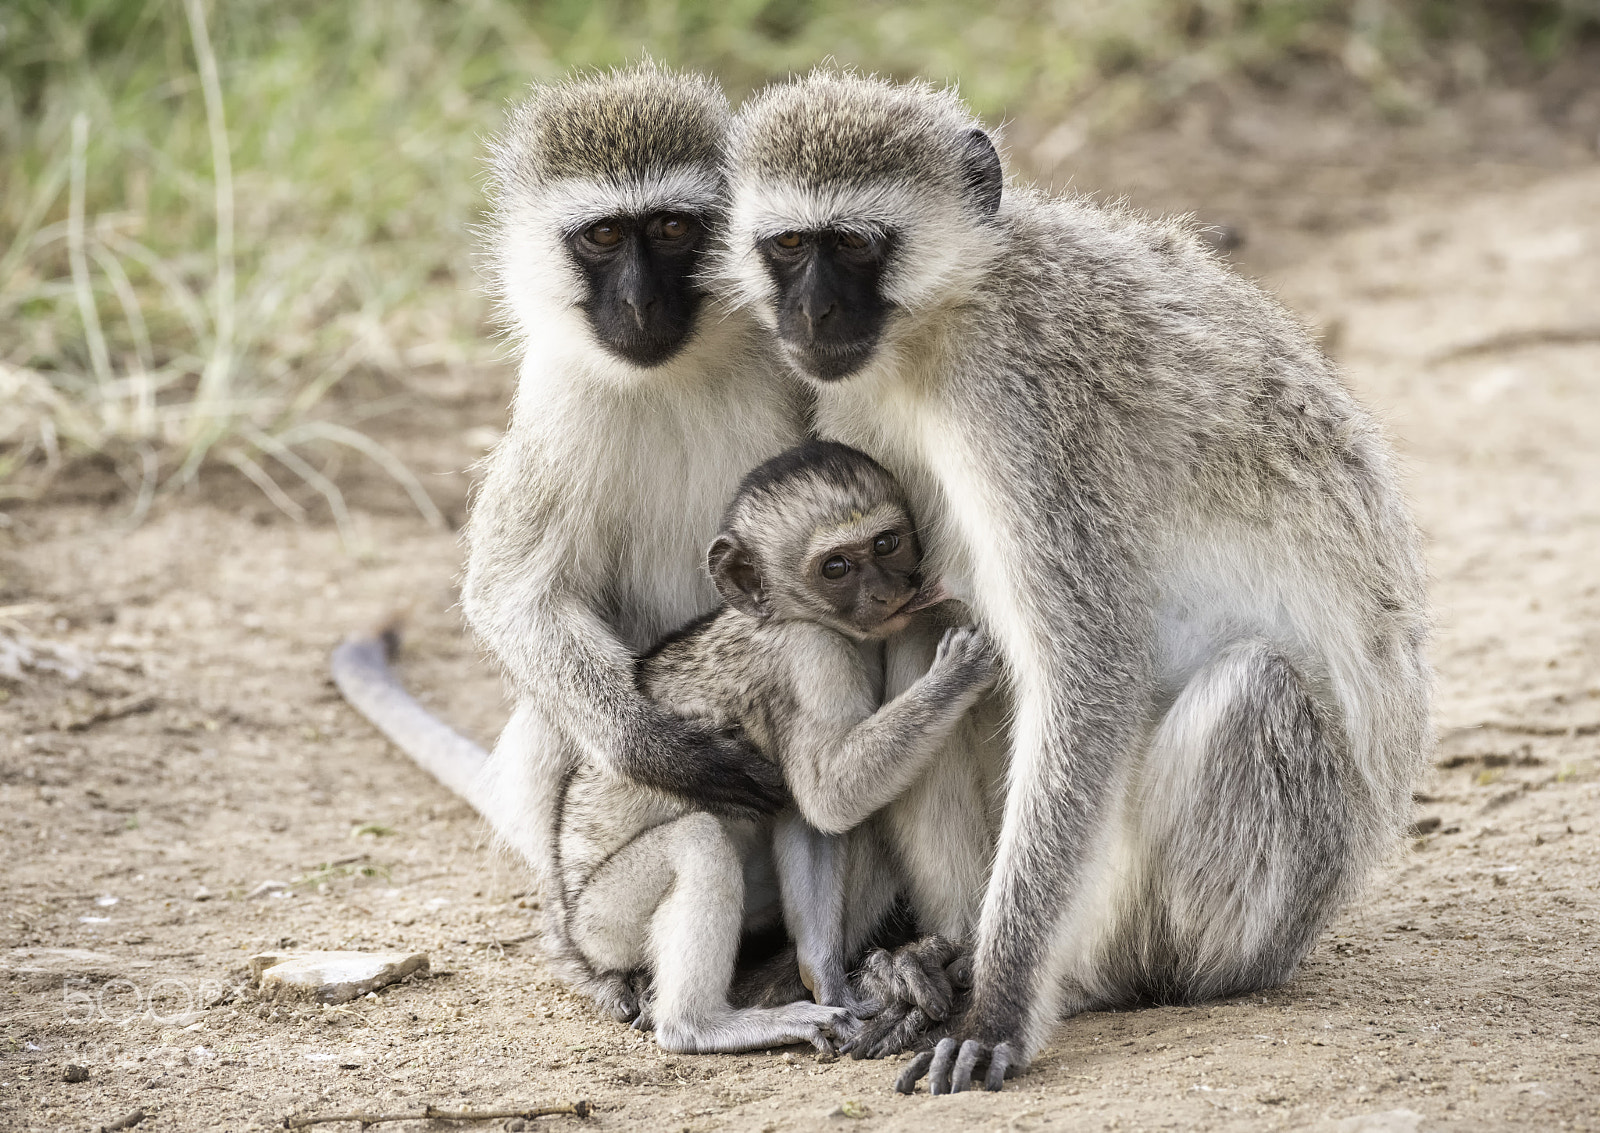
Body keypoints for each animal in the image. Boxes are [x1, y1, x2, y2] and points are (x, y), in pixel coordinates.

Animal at [546, 439, 996, 1052]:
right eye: (836, 567)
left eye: (886, 543)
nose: (886, 592)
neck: (794, 615)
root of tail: (575, 934)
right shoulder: (813, 657)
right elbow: (830, 796)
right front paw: (959, 672)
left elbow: (810, 817)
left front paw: (831, 982)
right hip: (605, 921)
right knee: (697, 842)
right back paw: (699, 1024)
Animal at [718, 71, 1430, 1093]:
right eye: (787, 246)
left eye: (852, 243)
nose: (808, 316)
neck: (944, 318)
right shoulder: (853, 402)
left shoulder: (1020, 401)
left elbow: (1086, 667)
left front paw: (999, 1004)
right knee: (930, 644)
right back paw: (940, 953)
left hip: (1252, 914)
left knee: (1252, 692)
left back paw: (1086, 976)